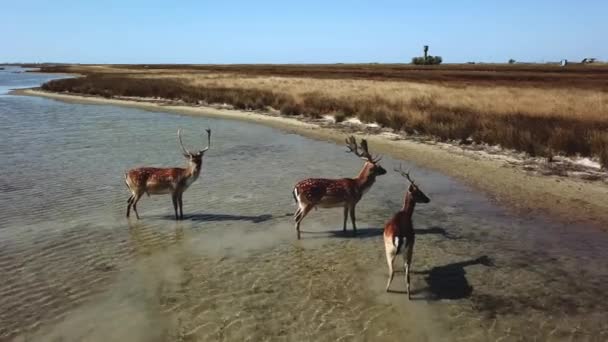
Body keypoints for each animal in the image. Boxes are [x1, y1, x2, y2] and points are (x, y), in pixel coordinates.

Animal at [382, 166, 430, 300]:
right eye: (418, 192)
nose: (428, 199)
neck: (405, 214)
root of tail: (399, 236)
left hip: (392, 250)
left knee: (393, 271)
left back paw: (387, 290)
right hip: (407, 249)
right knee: (407, 273)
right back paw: (408, 295)